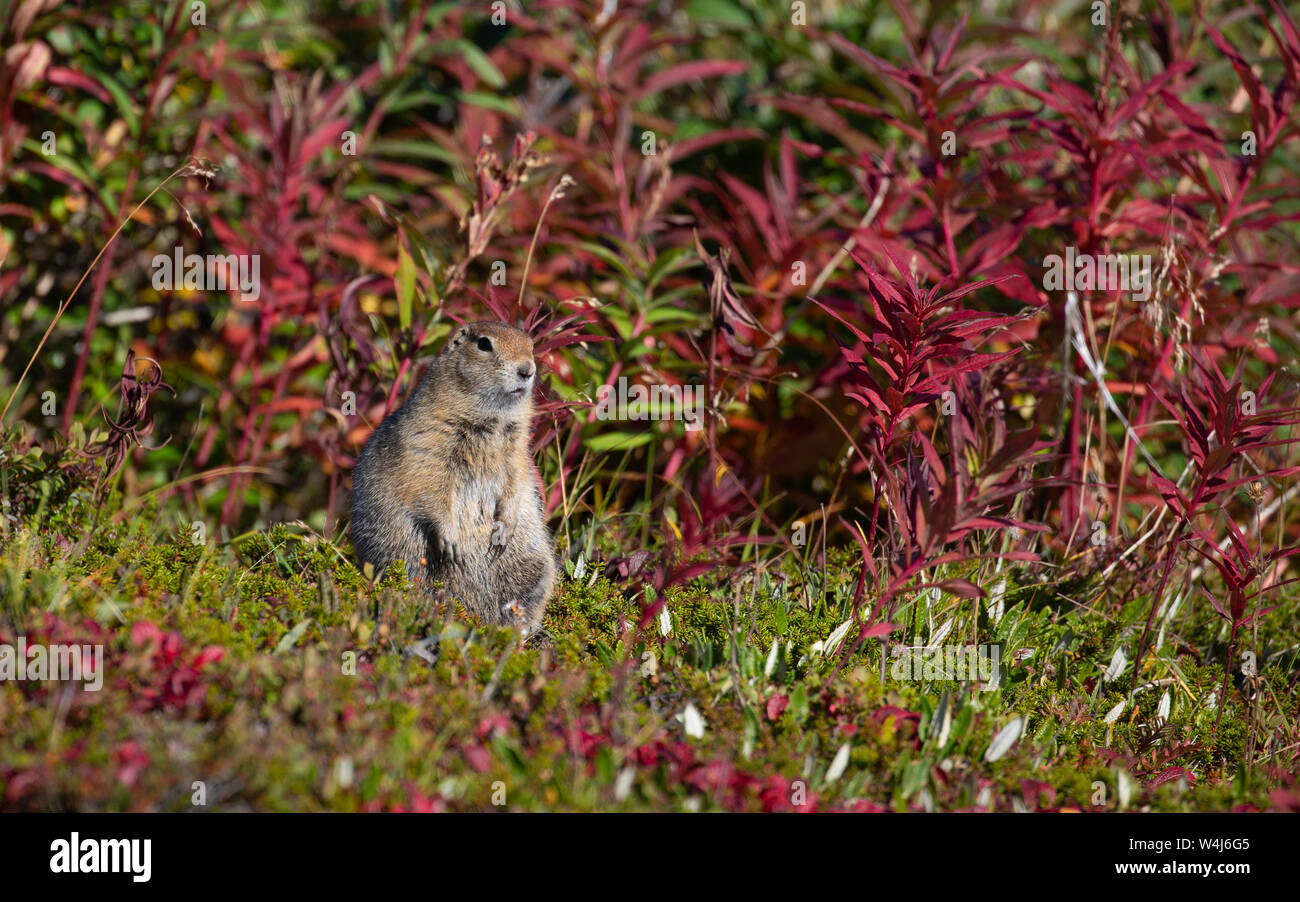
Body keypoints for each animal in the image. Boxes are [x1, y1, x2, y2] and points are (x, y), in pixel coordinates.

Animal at [351, 321, 559, 631]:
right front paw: (452, 543)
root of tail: (480, 616)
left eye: (531, 345)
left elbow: (515, 481)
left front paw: (503, 529)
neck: (491, 420)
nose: (527, 370)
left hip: (535, 563)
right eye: (484, 344)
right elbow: (432, 489)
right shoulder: (429, 445)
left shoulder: (518, 452)